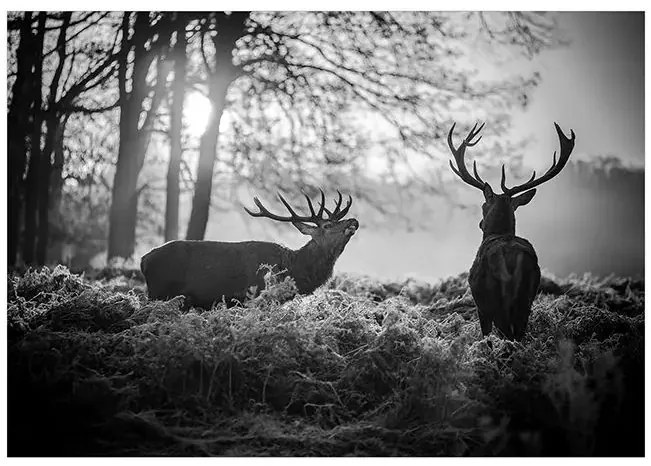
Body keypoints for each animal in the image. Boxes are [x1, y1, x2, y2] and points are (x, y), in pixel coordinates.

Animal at [139, 191, 360, 308]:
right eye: (327, 225)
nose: (353, 221)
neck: (294, 269)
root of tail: (143, 260)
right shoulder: (254, 296)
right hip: (158, 292)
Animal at [448, 122, 576, 340]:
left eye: (483, 205)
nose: (480, 223)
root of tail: (512, 262)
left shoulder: (481, 306)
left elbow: (486, 338)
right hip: (527, 298)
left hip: (495, 300)